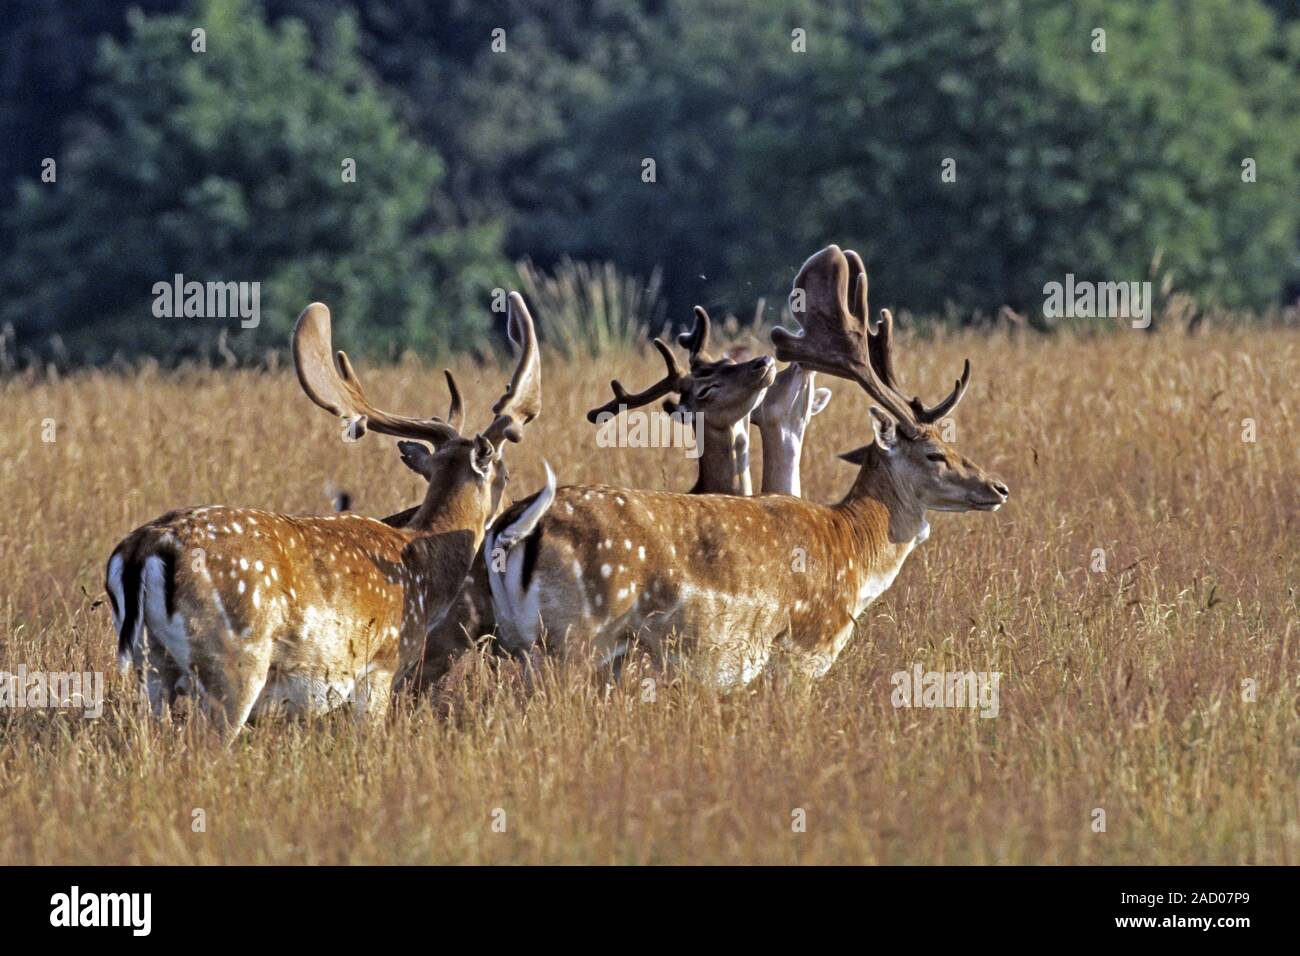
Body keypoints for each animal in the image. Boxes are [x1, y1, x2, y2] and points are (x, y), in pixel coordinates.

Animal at [102, 295, 543, 738]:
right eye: (506, 473)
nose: (516, 510)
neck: (424, 573)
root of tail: (142, 550)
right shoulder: (379, 667)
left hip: (150, 667)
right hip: (232, 660)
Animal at [486, 243, 1003, 686]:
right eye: (935, 454)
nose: (998, 488)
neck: (853, 548)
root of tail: (512, 526)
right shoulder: (802, 650)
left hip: (527, 643)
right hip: (580, 637)